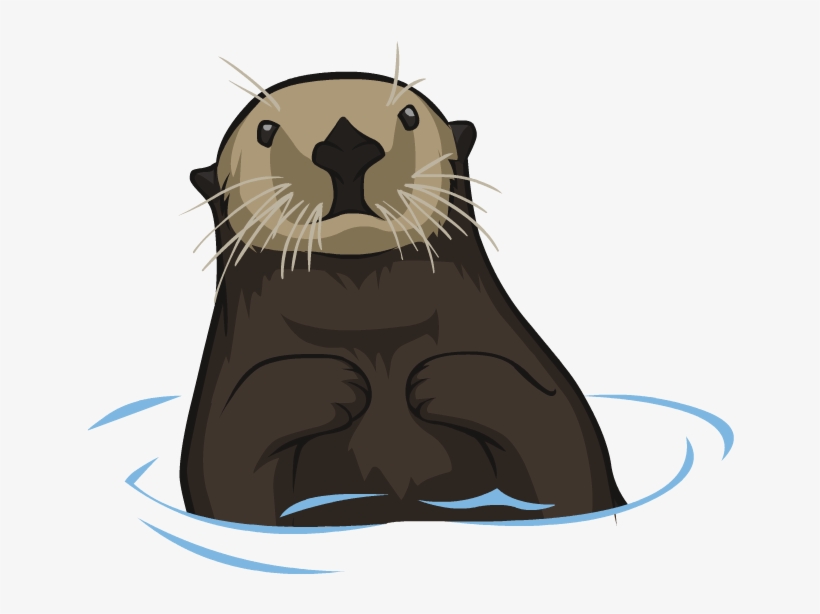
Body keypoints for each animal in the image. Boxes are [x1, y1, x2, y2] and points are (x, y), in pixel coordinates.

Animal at [180, 60, 625, 526]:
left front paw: (447, 379)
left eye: (409, 116)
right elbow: (231, 469)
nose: (347, 145)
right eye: (265, 129)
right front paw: (324, 384)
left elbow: (565, 460)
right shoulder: (223, 406)